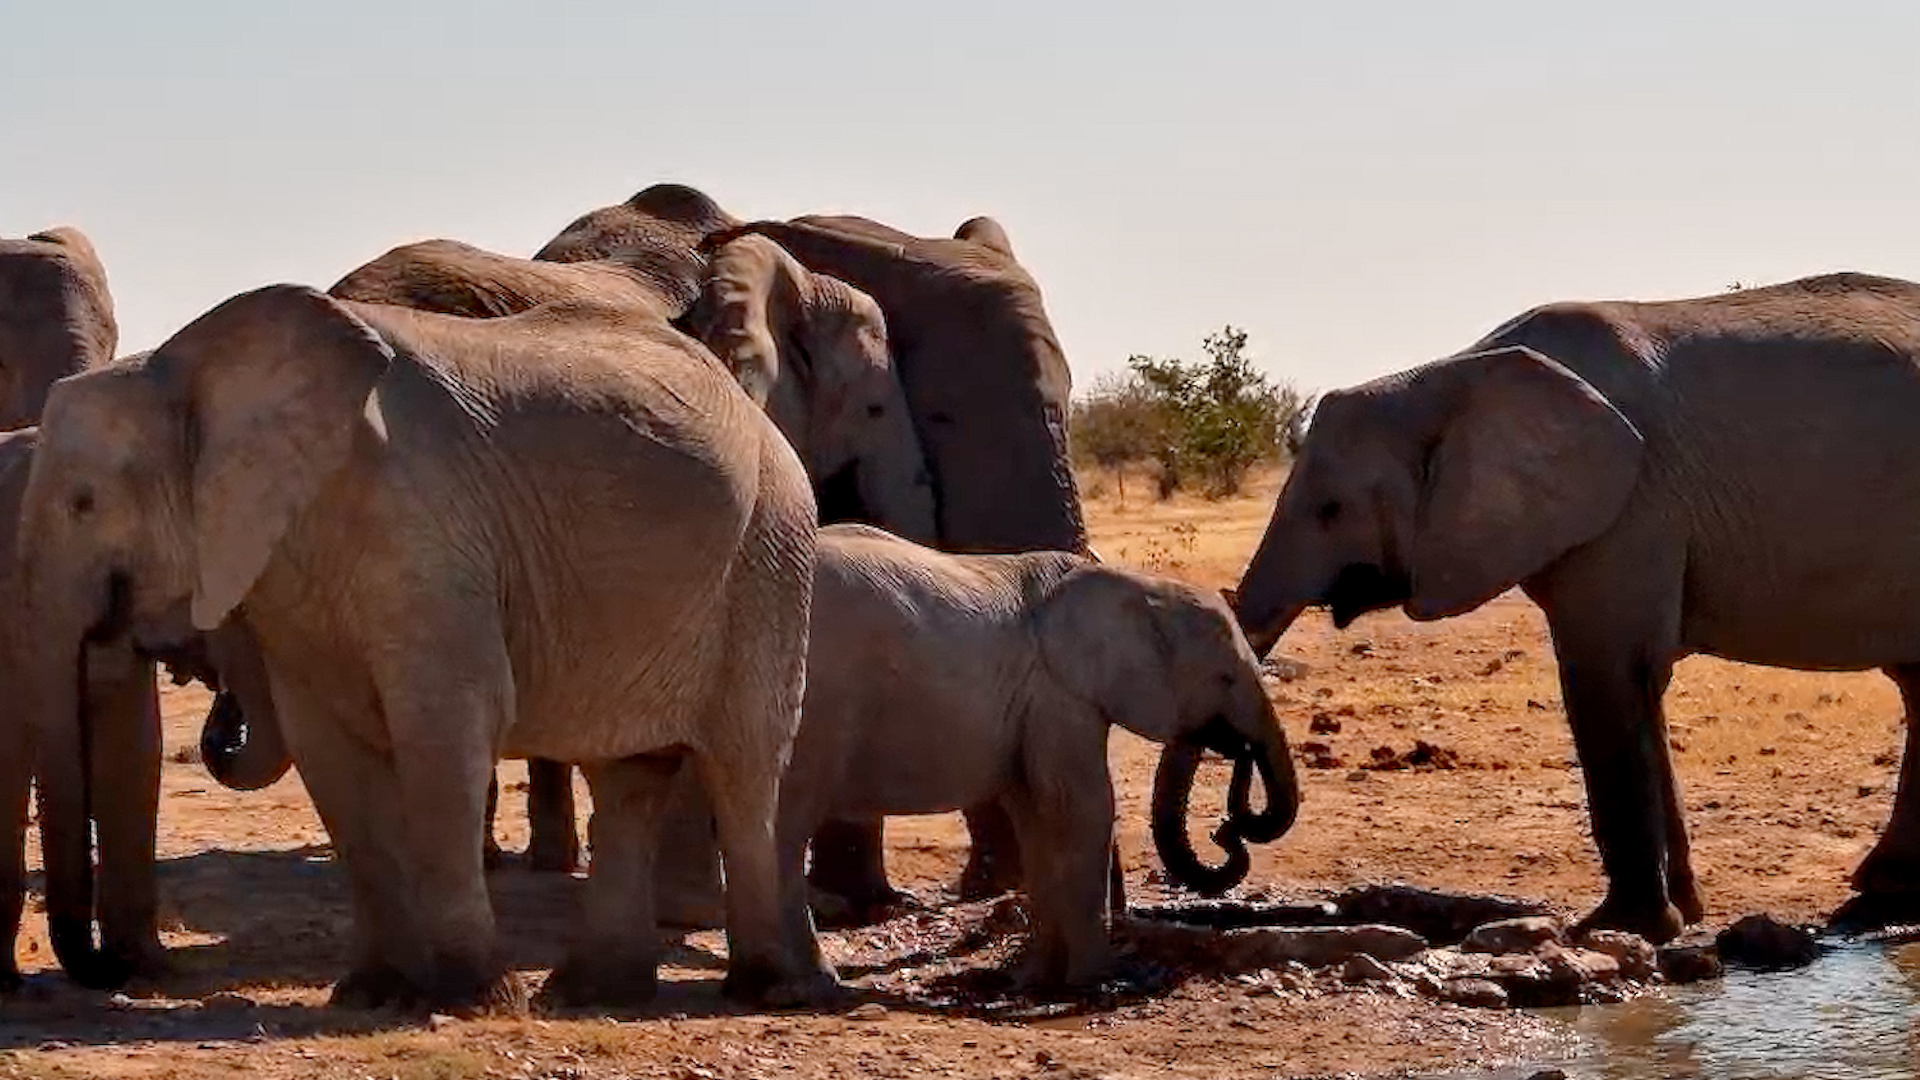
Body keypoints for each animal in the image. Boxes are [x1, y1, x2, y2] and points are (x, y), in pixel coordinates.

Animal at [17, 282, 835, 1012]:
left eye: (83, 503)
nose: (108, 976)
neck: (188, 368)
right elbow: (331, 756)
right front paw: (373, 996)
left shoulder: (428, 526)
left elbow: (445, 726)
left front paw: (475, 1000)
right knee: (627, 778)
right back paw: (594, 994)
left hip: (769, 552)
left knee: (745, 766)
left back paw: (768, 990)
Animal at [777, 524, 1299, 986]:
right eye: (1224, 679)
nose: (1226, 829)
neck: (1133, 585)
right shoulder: (1058, 693)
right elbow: (1084, 807)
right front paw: (1095, 979)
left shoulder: (1036, 703)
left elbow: (1033, 817)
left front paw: (1034, 980)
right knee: (785, 824)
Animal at [1232, 271, 1920, 942]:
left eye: (1331, 510)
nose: (1234, 831)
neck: (1449, 376)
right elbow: (1638, 686)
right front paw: (1680, 917)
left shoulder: (1634, 505)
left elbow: (1607, 678)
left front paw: (1617, 929)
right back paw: (1878, 902)